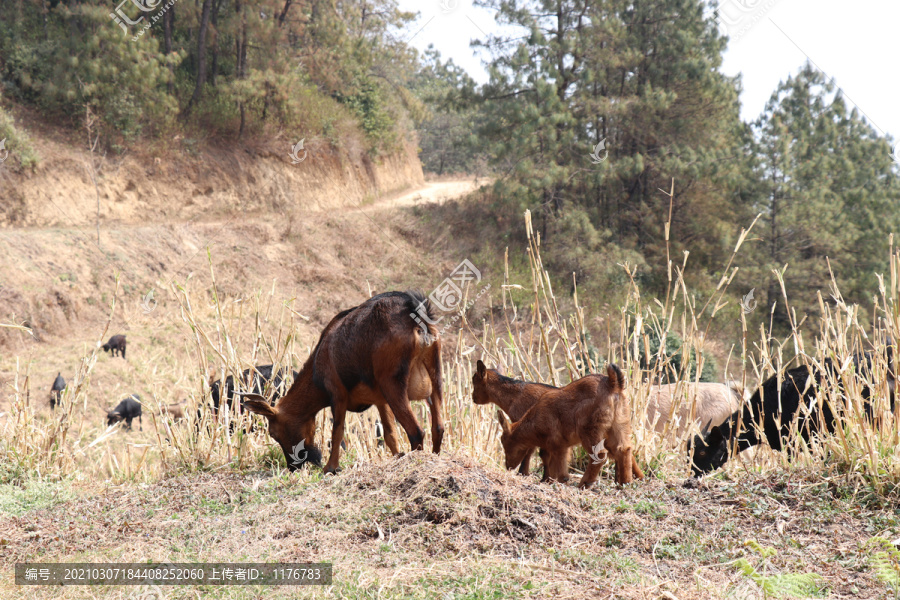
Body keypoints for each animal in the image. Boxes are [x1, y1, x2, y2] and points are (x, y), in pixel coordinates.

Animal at [241, 290, 444, 474]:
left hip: (393, 383)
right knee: (438, 427)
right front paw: (396, 457)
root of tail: (414, 313)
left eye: (273, 433)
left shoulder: (337, 394)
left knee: (416, 431)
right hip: (435, 375)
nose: (293, 467)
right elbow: (390, 434)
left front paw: (330, 468)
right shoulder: (380, 400)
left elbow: (337, 432)